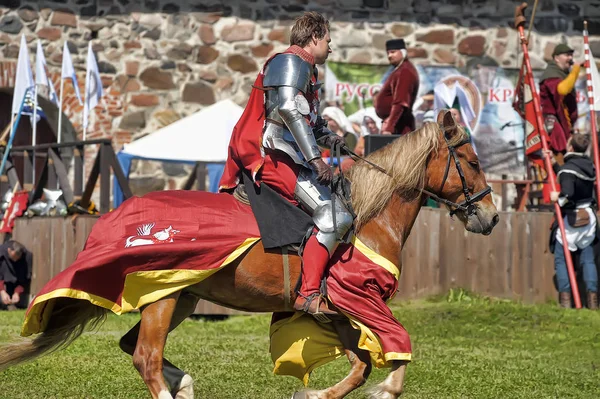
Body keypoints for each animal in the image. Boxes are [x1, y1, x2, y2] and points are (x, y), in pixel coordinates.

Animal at [0, 110, 500, 399]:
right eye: (473, 162)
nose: (491, 216)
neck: (369, 217)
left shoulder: (334, 312)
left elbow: (359, 366)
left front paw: (313, 395)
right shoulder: (360, 299)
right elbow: (396, 345)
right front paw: (387, 388)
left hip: (181, 297)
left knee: (133, 348)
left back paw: (185, 385)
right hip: (162, 294)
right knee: (145, 357)